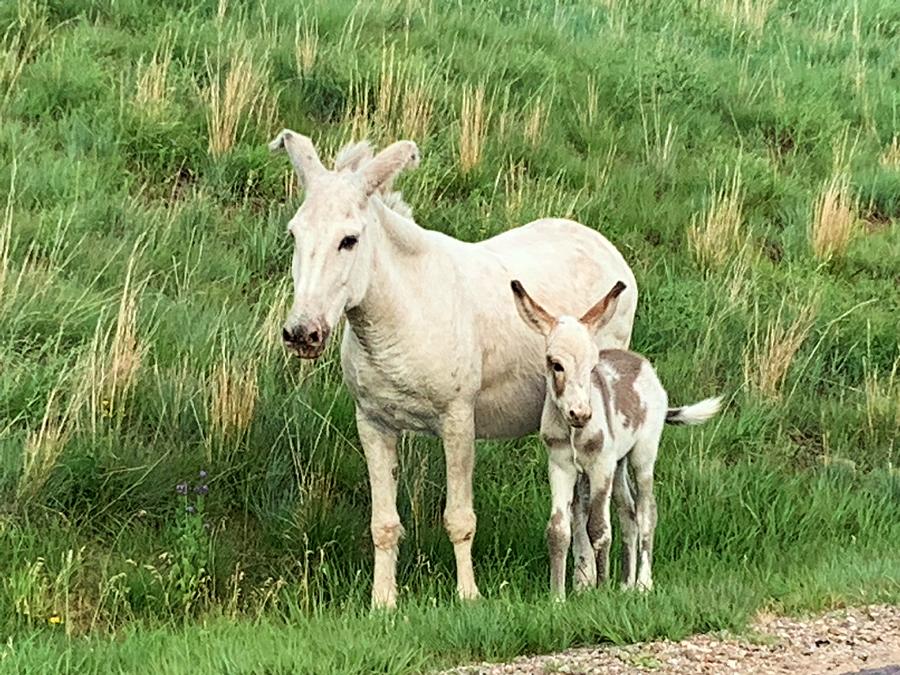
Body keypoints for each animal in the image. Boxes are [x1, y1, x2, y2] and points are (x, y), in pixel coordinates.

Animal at [510, 282, 720, 600]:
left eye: (591, 366)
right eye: (555, 364)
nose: (581, 414)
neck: (574, 431)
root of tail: (641, 362)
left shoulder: (600, 467)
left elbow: (598, 529)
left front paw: (601, 591)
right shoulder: (561, 466)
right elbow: (558, 530)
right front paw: (558, 597)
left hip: (642, 456)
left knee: (646, 511)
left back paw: (643, 584)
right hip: (618, 465)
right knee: (628, 512)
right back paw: (626, 585)